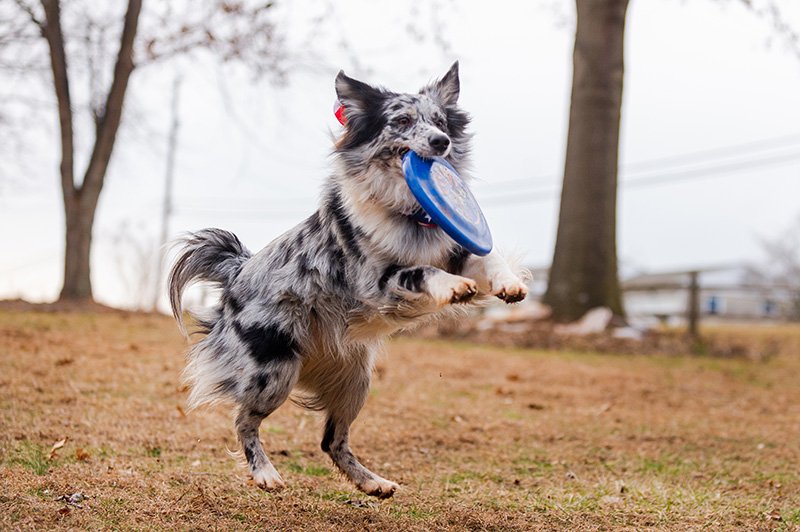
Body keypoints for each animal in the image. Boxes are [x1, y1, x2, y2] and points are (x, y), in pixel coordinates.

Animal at [168, 63, 528, 498]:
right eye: (402, 121)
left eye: (441, 122)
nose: (441, 142)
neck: (408, 212)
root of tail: (239, 269)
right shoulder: (377, 281)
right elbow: (422, 271)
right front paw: (452, 288)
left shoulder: (455, 249)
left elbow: (487, 256)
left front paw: (509, 284)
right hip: (274, 371)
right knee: (243, 419)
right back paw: (265, 473)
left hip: (355, 381)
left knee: (331, 441)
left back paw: (372, 482)